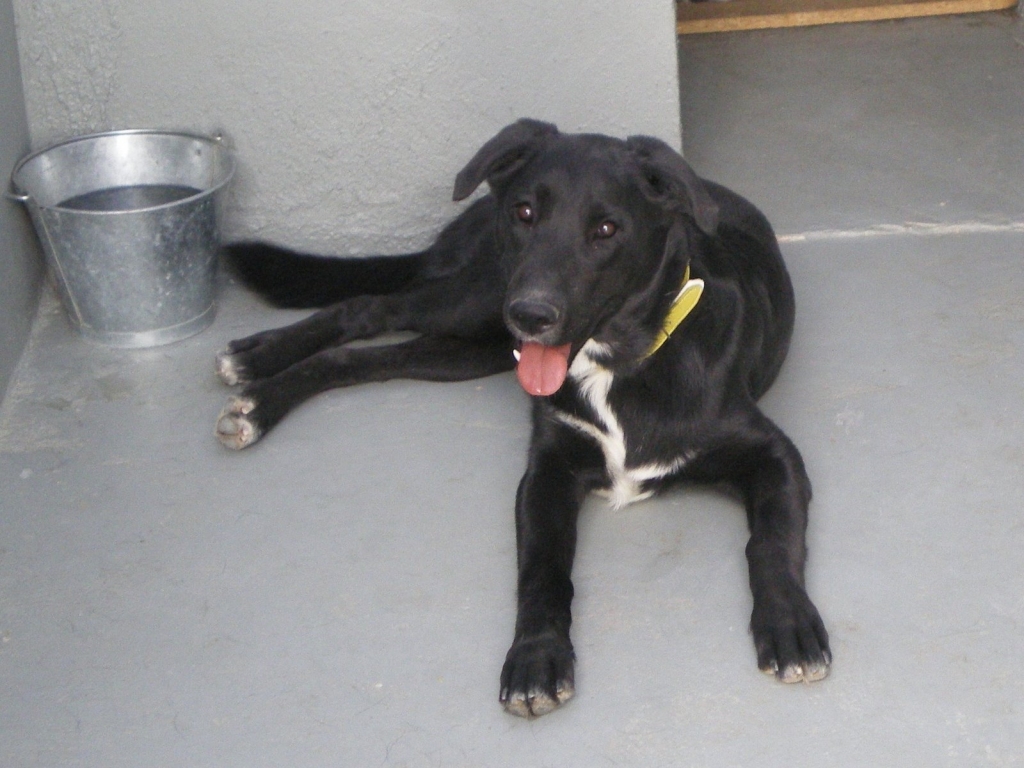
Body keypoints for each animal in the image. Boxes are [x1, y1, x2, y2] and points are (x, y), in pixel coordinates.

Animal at [214, 118, 831, 718]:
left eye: (607, 229)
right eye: (526, 212)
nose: (531, 315)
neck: (617, 363)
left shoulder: (774, 455)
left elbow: (771, 542)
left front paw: (790, 624)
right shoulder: (546, 472)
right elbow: (542, 571)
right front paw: (536, 658)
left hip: (471, 346)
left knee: (373, 355)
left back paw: (258, 391)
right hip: (478, 297)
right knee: (368, 307)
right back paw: (257, 369)